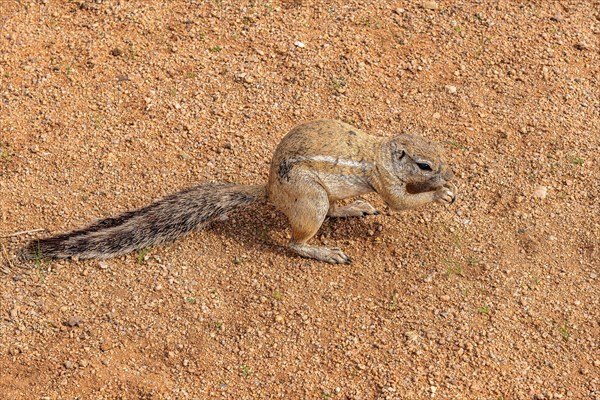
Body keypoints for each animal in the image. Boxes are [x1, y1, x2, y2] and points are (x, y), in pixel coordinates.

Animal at [23, 119, 454, 262]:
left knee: (332, 211)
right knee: (297, 242)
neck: (383, 152)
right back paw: (324, 251)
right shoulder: (386, 180)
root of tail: (271, 192)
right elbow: (401, 202)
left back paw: (353, 208)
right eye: (424, 164)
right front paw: (441, 193)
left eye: (441, 150)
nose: (449, 173)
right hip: (310, 200)